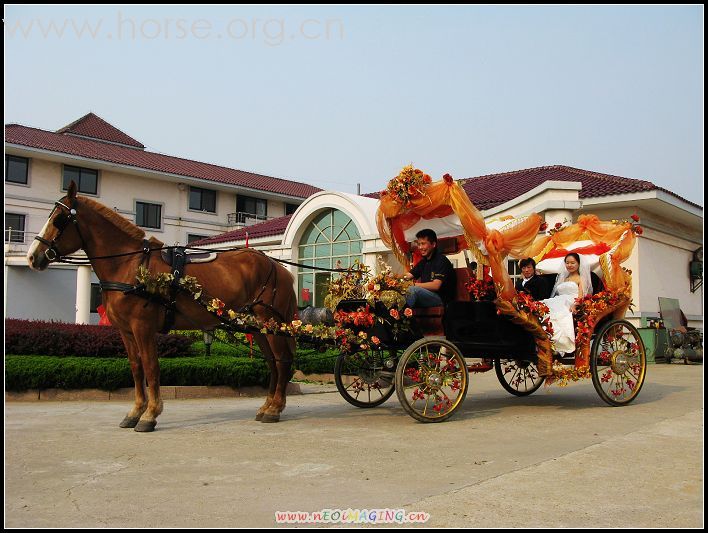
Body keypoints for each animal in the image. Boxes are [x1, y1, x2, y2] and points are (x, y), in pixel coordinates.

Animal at [27, 181, 296, 430]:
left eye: (59, 219)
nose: (33, 256)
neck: (130, 265)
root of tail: (278, 266)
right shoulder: (126, 330)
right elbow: (136, 368)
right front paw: (135, 411)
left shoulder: (142, 327)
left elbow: (151, 367)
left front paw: (150, 414)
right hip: (256, 326)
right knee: (273, 362)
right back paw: (267, 406)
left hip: (270, 321)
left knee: (282, 360)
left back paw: (275, 408)